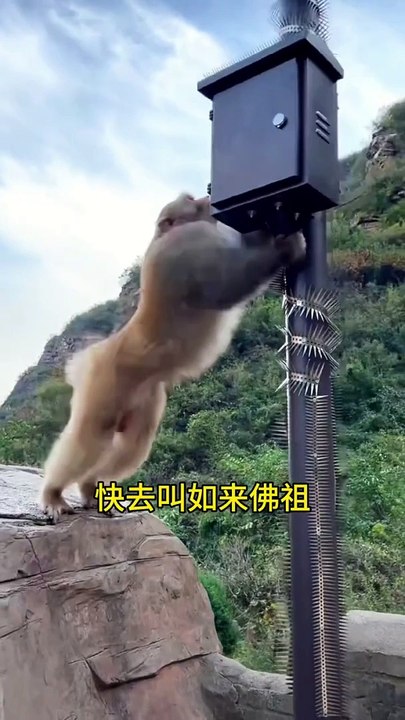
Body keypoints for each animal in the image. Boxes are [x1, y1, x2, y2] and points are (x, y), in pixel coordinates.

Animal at [39, 192, 306, 523]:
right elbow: (224, 284)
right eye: (190, 199)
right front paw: (285, 246)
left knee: (132, 447)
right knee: (89, 437)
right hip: (103, 383)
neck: (164, 236)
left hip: (144, 399)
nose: (206, 197)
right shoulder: (186, 247)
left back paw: (90, 487)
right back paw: (53, 493)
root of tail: (94, 355)